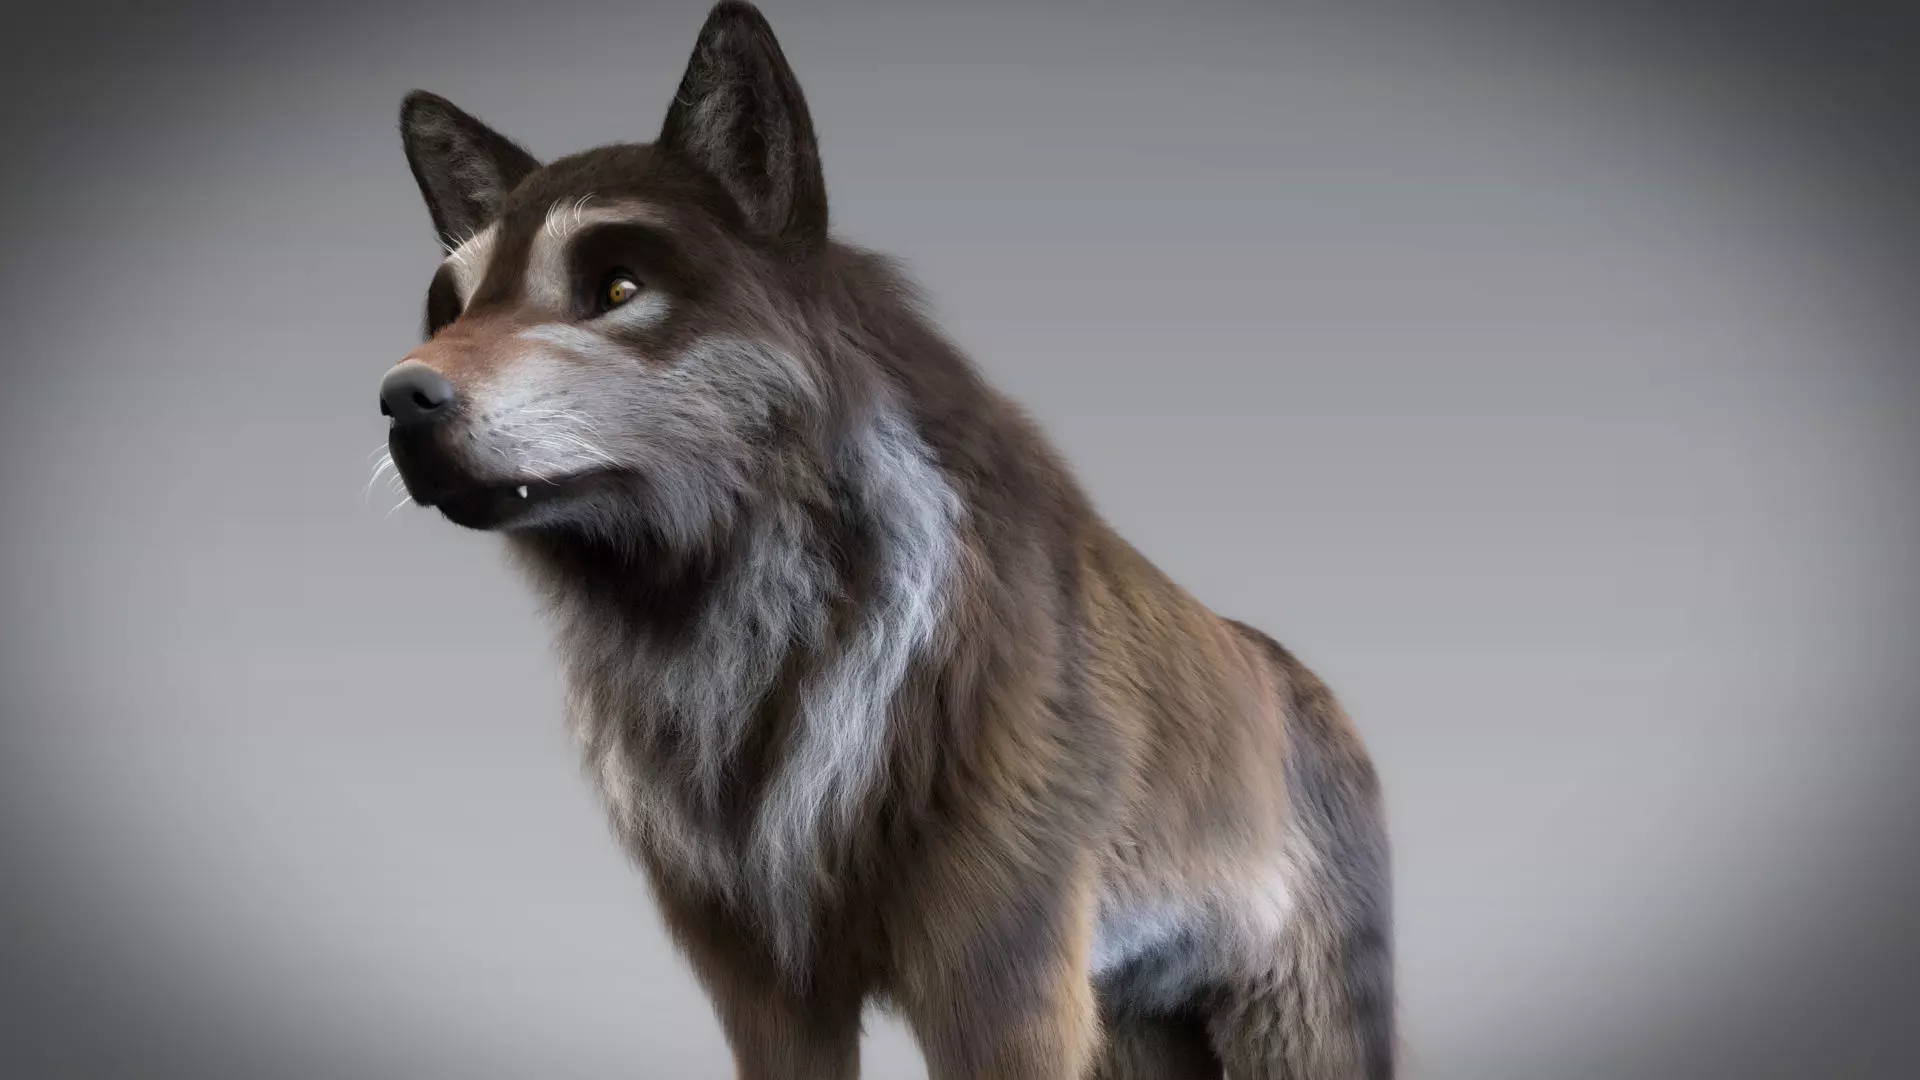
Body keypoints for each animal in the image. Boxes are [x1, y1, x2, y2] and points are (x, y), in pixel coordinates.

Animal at [379, 3, 1393, 1076]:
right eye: (452, 308)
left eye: (615, 287)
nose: (401, 398)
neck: (746, 650)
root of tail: (1317, 691)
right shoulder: (762, 986)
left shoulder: (1001, 976)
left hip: (1295, 1024)